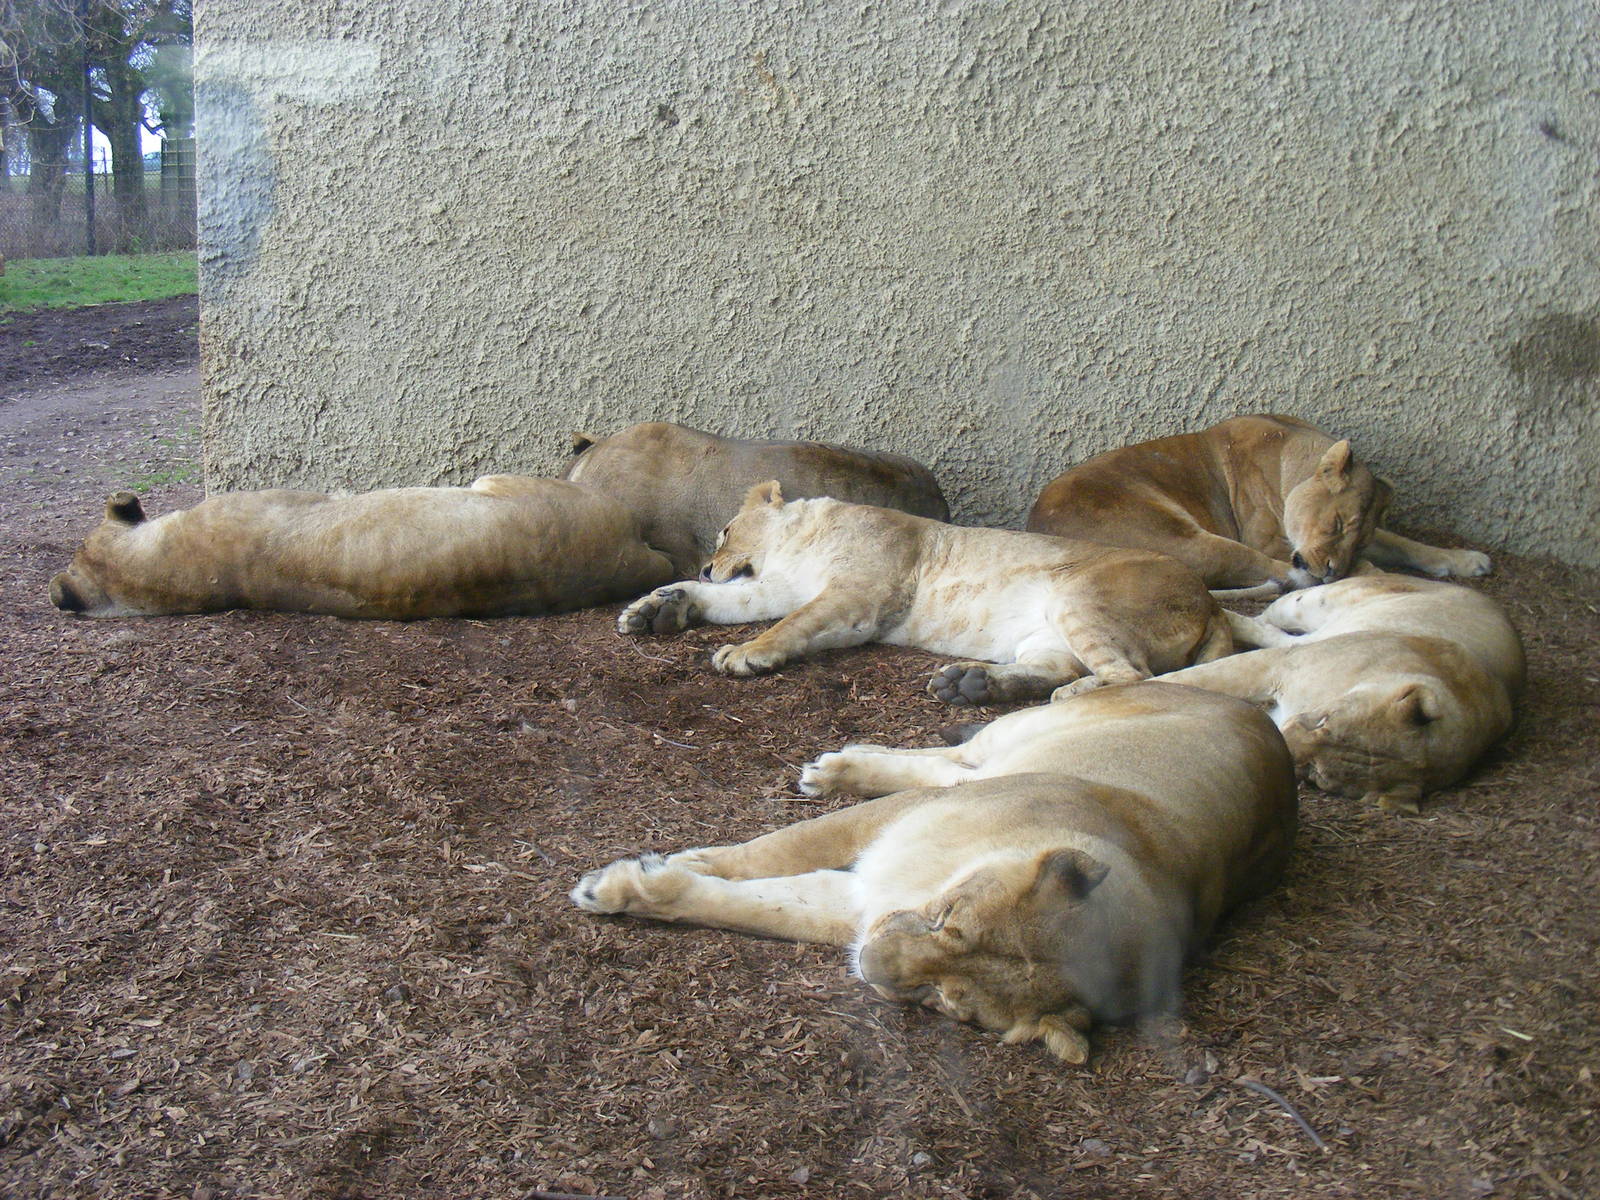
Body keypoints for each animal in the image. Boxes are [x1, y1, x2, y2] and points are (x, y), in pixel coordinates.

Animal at [572, 681, 1297, 1062]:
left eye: (943, 1001)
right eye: (950, 920)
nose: (871, 966)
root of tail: (1262, 718)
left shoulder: (867, 899)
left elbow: (753, 905)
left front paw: (633, 885)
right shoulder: (890, 831)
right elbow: (775, 850)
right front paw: (666, 866)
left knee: (951, 764)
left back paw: (836, 767)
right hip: (1028, 730)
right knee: (959, 755)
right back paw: (834, 768)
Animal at [615, 481, 1233, 704]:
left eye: (724, 531)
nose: (707, 566)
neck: (796, 542)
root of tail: (1211, 603)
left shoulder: (862, 594)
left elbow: (792, 624)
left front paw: (746, 654)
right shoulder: (782, 588)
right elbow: (741, 605)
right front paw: (658, 609)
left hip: (1080, 598)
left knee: (1133, 676)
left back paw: (1068, 696)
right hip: (1048, 635)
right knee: (1055, 666)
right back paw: (971, 684)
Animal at [1025, 413, 1491, 595]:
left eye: (1357, 536)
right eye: (1338, 524)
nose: (1333, 570)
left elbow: (1403, 542)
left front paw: (1465, 559)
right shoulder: (1268, 540)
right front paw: (1364, 572)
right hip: (1190, 540)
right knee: (1278, 574)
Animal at [1158, 575, 1524, 813]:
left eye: (1317, 776)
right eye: (1324, 721)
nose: (1284, 742)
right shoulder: (1277, 665)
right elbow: (1188, 678)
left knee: (1267, 629)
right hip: (1311, 603)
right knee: (1263, 616)